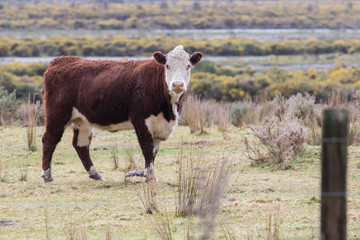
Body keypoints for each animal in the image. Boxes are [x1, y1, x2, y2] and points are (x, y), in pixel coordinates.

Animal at [40, 45, 202, 183]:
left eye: (188, 66)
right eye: (167, 66)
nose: (177, 84)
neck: (168, 110)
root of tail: (60, 60)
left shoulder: (160, 126)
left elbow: (154, 151)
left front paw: (147, 174)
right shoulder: (141, 121)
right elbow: (147, 149)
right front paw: (150, 178)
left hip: (82, 120)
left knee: (81, 144)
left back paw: (96, 175)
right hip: (57, 114)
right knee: (49, 139)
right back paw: (47, 176)